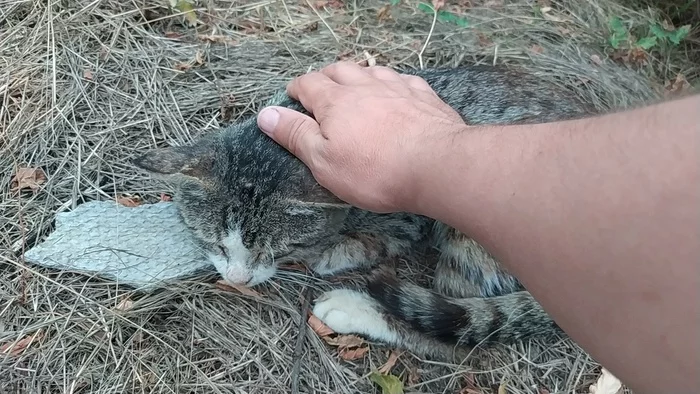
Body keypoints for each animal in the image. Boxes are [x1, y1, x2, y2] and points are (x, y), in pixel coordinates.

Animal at [135, 65, 596, 360]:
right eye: (213, 243)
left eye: (276, 252)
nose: (237, 279)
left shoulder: (401, 206)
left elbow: (379, 239)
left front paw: (336, 251)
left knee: (455, 341)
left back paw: (354, 308)